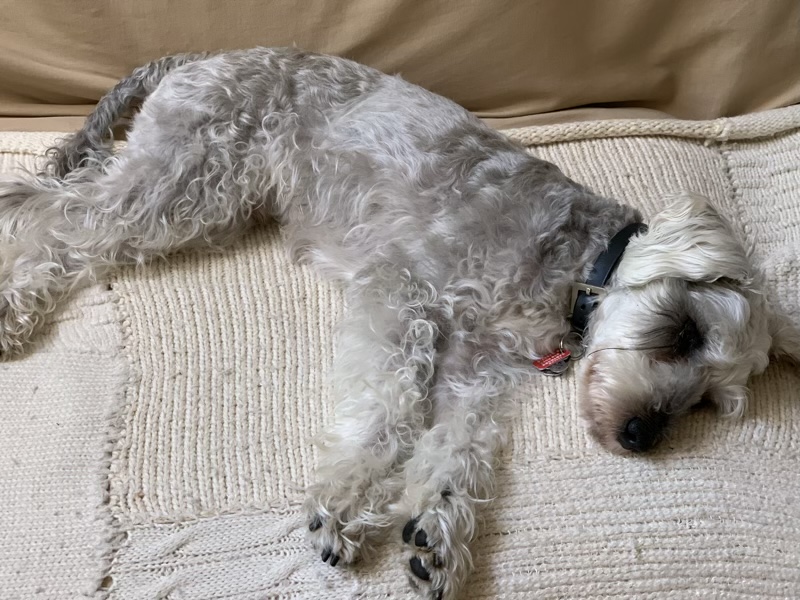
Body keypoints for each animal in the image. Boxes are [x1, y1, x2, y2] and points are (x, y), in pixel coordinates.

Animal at [1, 47, 797, 600]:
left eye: (709, 401)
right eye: (683, 331)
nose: (639, 436)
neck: (575, 271)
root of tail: (200, 58)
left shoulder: (475, 376)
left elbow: (457, 452)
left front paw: (435, 538)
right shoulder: (401, 298)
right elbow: (388, 411)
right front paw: (345, 505)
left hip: (206, 202)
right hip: (181, 186)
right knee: (50, 215)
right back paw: (13, 306)